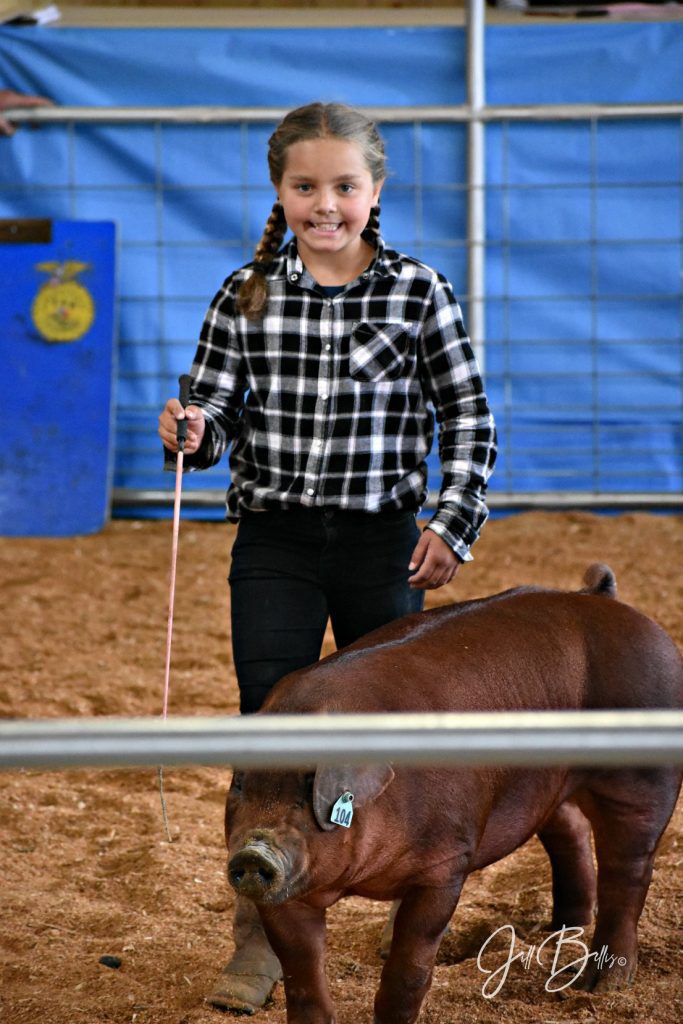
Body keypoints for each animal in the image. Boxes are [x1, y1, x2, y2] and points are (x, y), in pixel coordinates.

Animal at [222, 569, 679, 1024]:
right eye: (241, 786)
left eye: (307, 791)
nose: (254, 852)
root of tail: (605, 598)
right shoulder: (288, 893)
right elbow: (302, 972)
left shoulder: (446, 862)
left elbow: (410, 966)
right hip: (547, 784)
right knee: (572, 833)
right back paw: (561, 929)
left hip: (643, 776)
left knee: (629, 871)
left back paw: (601, 984)